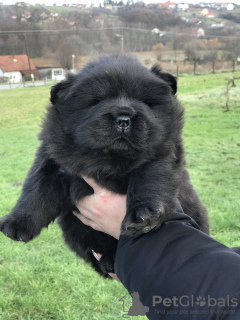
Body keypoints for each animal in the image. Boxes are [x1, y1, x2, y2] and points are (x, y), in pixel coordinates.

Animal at [0, 55, 208, 276]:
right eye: (96, 102)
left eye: (145, 102)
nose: (123, 118)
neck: (109, 160)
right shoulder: (53, 160)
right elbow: (36, 190)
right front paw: (16, 223)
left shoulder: (161, 152)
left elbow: (150, 178)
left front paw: (142, 216)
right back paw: (109, 260)